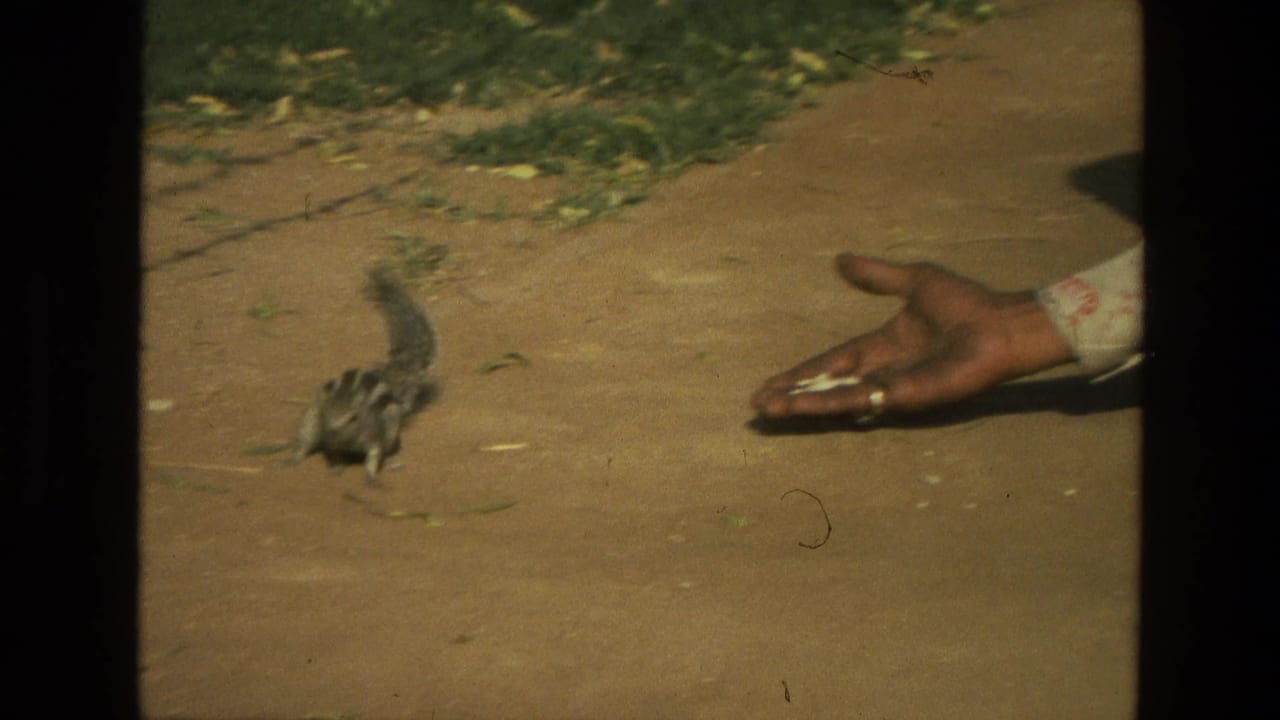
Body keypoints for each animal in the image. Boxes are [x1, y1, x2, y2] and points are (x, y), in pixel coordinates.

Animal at [292, 267, 438, 485]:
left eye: (353, 418)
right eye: (327, 415)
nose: (331, 431)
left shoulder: (374, 434)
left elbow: (375, 453)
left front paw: (371, 474)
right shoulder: (327, 433)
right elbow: (332, 452)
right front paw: (336, 466)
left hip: (391, 426)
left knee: (387, 446)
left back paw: (389, 461)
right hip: (311, 418)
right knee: (307, 440)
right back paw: (294, 457)